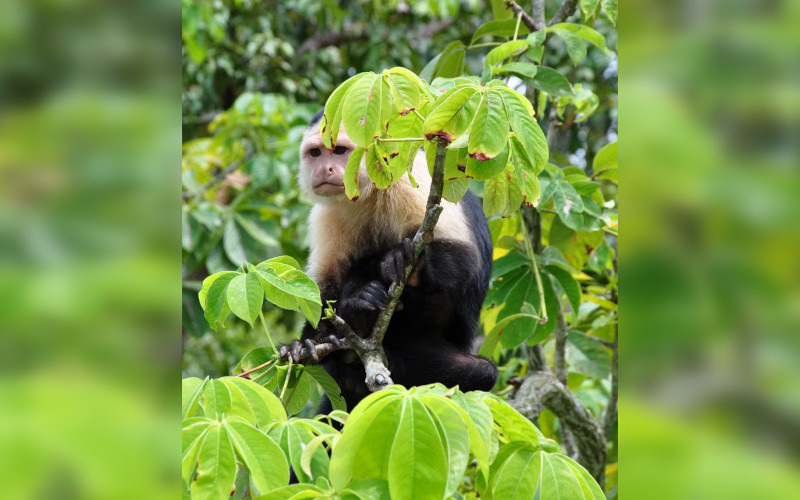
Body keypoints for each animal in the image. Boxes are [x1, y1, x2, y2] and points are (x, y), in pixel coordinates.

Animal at [280, 109, 494, 410]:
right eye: (316, 153)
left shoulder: (412, 178)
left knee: (484, 372)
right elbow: (325, 289)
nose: (324, 170)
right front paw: (307, 343)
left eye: (339, 151)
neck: (368, 192)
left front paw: (410, 264)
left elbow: (466, 258)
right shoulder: (326, 214)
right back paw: (356, 319)